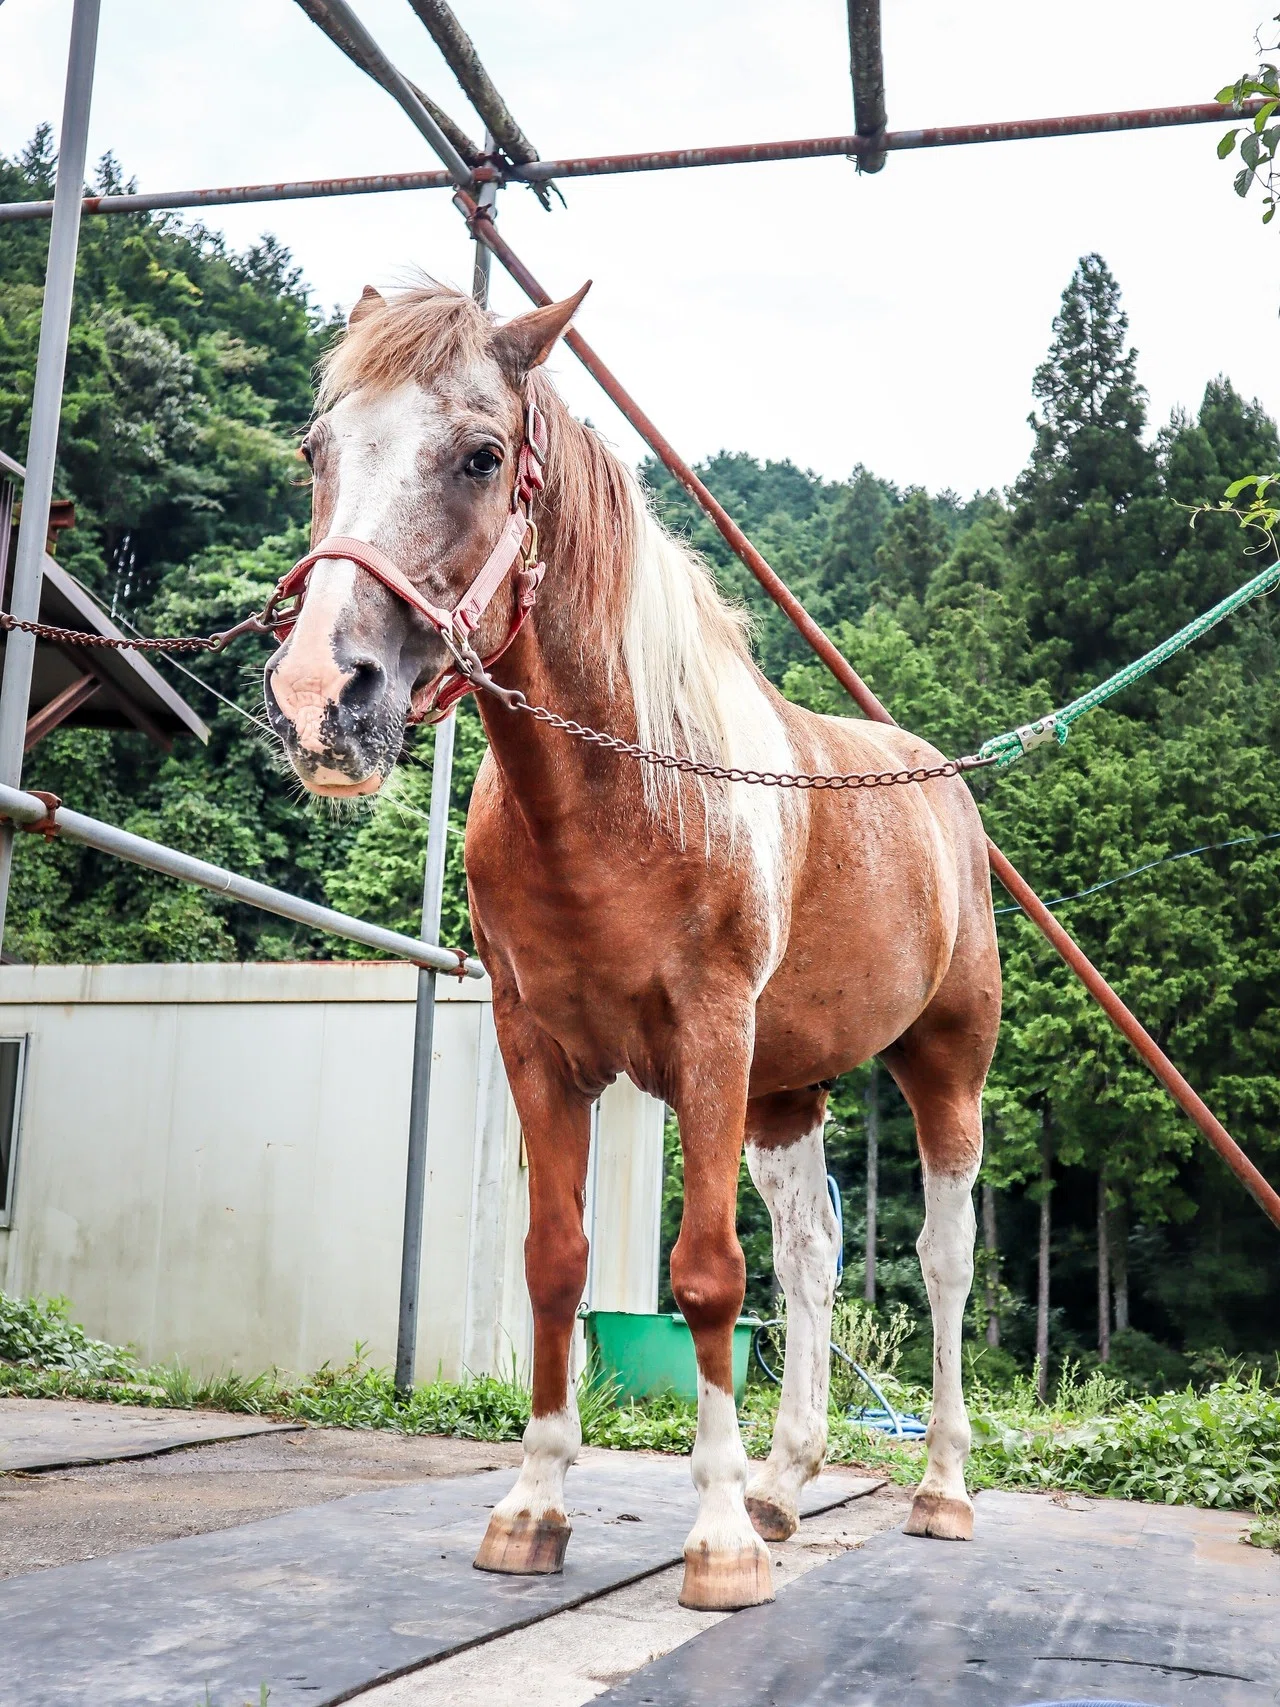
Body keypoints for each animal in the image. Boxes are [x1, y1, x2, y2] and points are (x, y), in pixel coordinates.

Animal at [263, 280, 1001, 1612]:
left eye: (480, 455)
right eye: (315, 450)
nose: (316, 700)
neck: (622, 792)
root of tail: (941, 784)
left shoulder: (707, 1037)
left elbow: (705, 1274)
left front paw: (713, 1541)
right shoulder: (537, 1046)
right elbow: (556, 1263)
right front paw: (534, 1504)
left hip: (942, 1068)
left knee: (940, 1260)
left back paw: (938, 1490)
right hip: (782, 1092)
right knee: (811, 1256)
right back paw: (781, 1483)